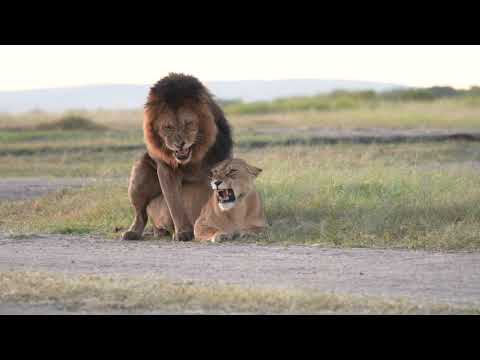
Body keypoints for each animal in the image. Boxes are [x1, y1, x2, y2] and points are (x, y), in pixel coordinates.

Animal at [123, 73, 233, 242]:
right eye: (168, 127)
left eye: (188, 123)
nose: (180, 144)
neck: (193, 158)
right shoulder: (166, 170)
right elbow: (174, 203)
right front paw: (183, 232)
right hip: (140, 173)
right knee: (141, 215)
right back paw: (134, 232)